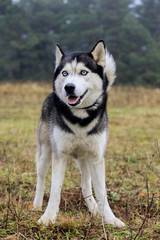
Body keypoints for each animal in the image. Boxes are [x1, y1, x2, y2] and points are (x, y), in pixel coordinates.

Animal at [32, 40, 125, 228]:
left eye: (83, 72)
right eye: (65, 73)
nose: (69, 87)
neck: (80, 117)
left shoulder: (96, 158)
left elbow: (102, 192)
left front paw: (110, 218)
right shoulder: (59, 156)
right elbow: (55, 190)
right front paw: (48, 217)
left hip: (85, 159)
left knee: (85, 185)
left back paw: (94, 209)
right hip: (45, 152)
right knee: (41, 179)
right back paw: (37, 205)